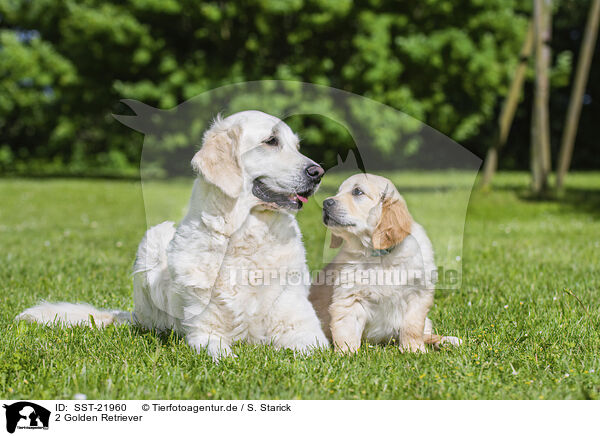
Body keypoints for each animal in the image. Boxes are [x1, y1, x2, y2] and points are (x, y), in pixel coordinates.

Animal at [310, 172, 460, 352]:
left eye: (357, 192)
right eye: (338, 192)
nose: (325, 203)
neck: (379, 256)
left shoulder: (418, 294)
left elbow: (412, 326)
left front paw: (414, 350)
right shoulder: (349, 297)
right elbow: (346, 331)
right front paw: (346, 355)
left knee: (427, 334)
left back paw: (447, 340)